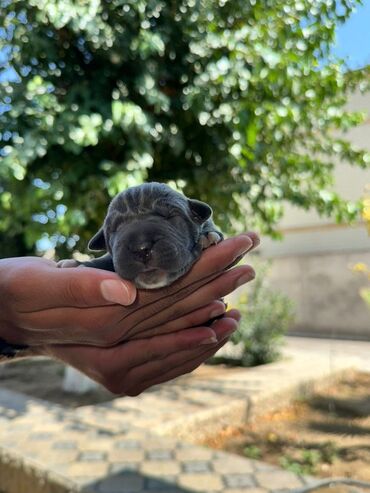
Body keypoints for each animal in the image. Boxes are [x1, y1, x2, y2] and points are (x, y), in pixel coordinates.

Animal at [59, 181, 223, 288]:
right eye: (115, 229)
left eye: (169, 216)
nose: (141, 248)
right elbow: (106, 259)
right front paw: (78, 263)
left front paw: (207, 236)